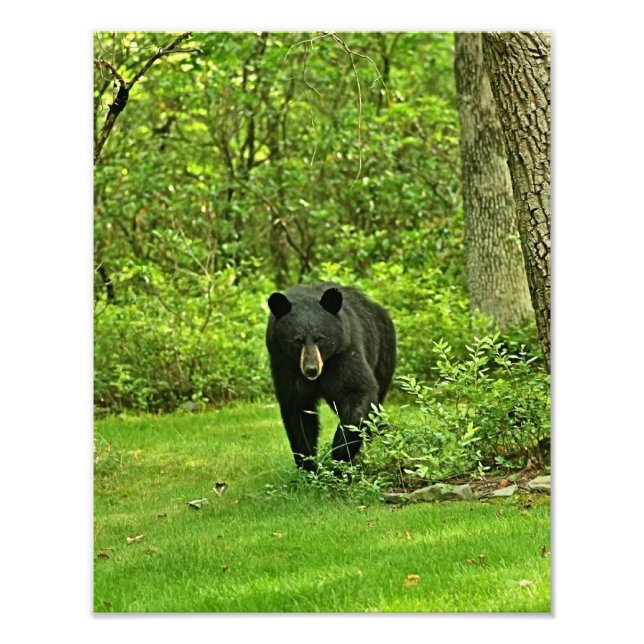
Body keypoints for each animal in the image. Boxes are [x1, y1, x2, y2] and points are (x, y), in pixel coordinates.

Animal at [265, 282, 396, 471]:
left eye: (320, 338)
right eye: (297, 340)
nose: (311, 370)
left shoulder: (344, 353)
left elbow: (357, 390)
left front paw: (340, 451)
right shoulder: (285, 364)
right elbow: (297, 410)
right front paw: (309, 465)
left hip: (383, 353)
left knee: (376, 405)